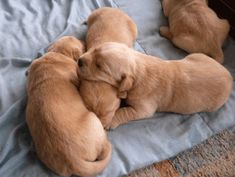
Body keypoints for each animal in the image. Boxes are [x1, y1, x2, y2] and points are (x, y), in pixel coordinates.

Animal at [77, 42, 233, 129]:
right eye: (94, 50)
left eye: (99, 66)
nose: (79, 60)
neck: (138, 68)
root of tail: (229, 76)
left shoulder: (144, 108)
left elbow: (125, 112)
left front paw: (110, 122)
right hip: (197, 55)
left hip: (213, 105)